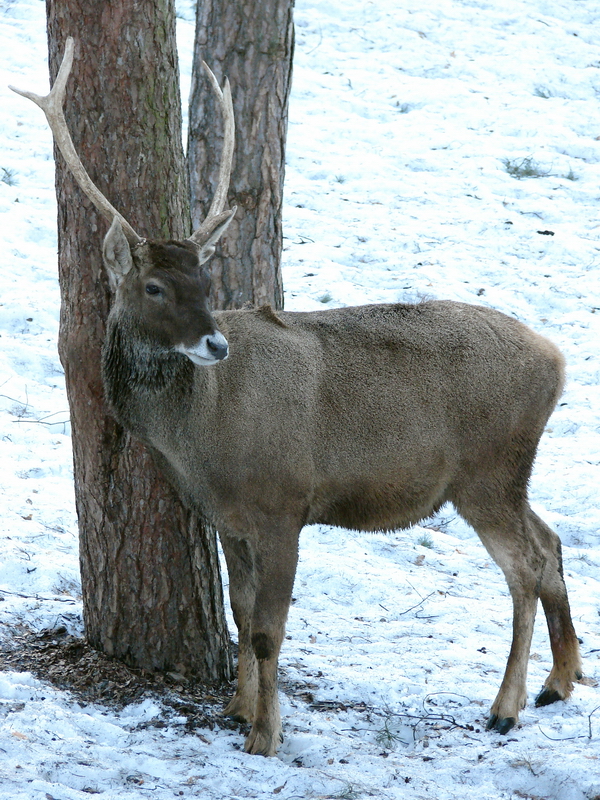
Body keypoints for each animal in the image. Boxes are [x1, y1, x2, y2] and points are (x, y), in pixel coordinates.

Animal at [11, 38, 582, 757]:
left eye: (205, 281)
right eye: (155, 287)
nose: (215, 344)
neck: (202, 440)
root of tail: (558, 362)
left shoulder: (284, 503)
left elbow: (267, 628)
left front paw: (266, 735)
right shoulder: (226, 518)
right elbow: (239, 611)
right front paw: (235, 707)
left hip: (487, 470)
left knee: (526, 566)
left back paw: (506, 708)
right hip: (506, 475)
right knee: (552, 543)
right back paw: (560, 682)